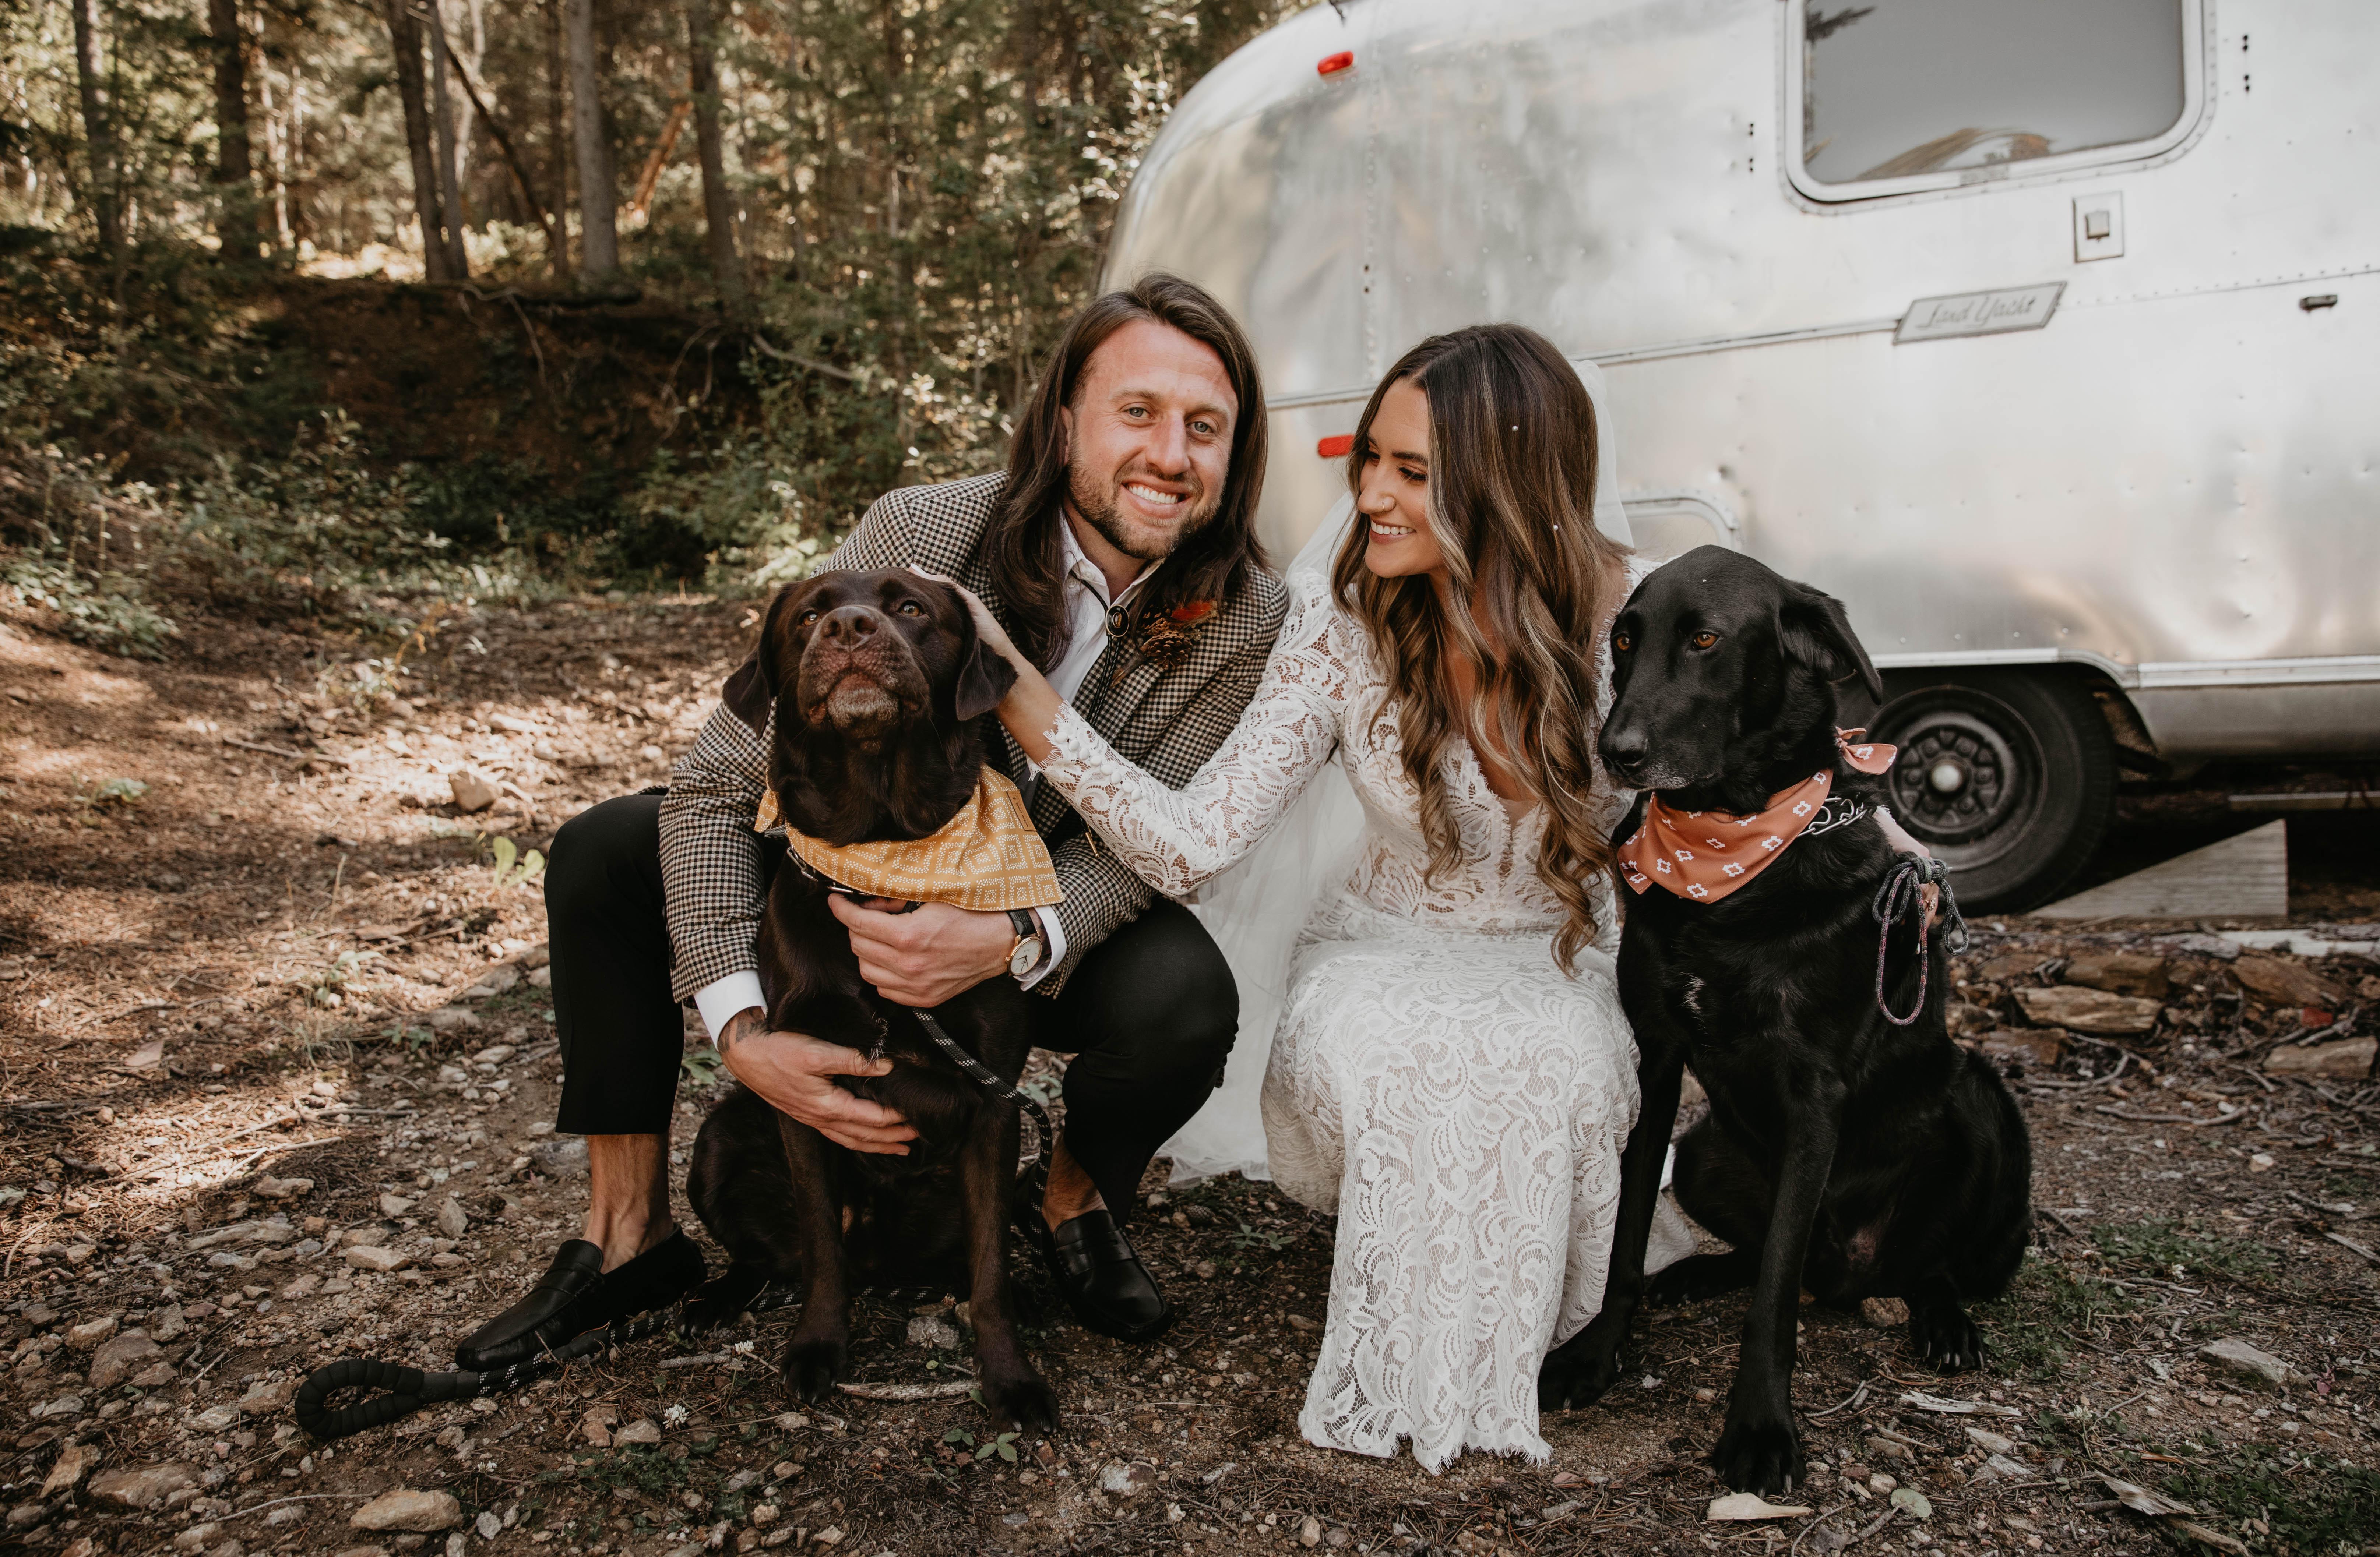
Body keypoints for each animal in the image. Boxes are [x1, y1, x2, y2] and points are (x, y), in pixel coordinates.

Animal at [682, 568, 1059, 1433]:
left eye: (911, 608)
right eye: (807, 616)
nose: (849, 628)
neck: (883, 855)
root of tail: (883, 1262)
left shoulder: (995, 1103)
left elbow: (990, 1268)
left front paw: (1011, 1377)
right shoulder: (801, 1087)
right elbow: (822, 1242)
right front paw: (818, 1347)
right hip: (718, 1138)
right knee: (773, 1256)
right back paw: (715, 1299)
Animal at [1538, 546, 2031, 1495]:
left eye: (1704, 640)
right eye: (1624, 639)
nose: (1617, 752)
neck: (1727, 854)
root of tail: (1851, 1273)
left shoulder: (1814, 1094)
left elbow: (1771, 1298)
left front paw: (1761, 1426)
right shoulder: (1658, 1061)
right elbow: (1626, 1239)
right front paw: (1595, 1353)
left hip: (1976, 1100)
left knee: (1920, 1263)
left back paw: (1943, 1320)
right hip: (1704, 1151)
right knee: (1767, 1249)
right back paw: (1695, 1275)